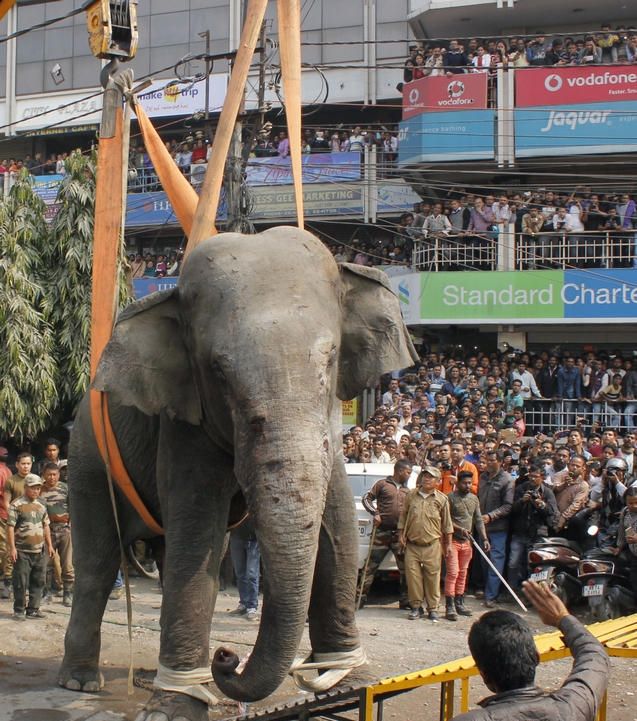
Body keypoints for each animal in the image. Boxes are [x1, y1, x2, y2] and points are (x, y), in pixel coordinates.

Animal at [58, 226, 418, 720]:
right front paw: (173, 707)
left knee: (166, 557)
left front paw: (351, 683)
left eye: (330, 360)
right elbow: (198, 531)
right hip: (88, 458)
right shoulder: (183, 424)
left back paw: (153, 676)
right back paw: (82, 682)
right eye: (219, 373)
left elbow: (338, 527)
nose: (227, 656)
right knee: (98, 559)